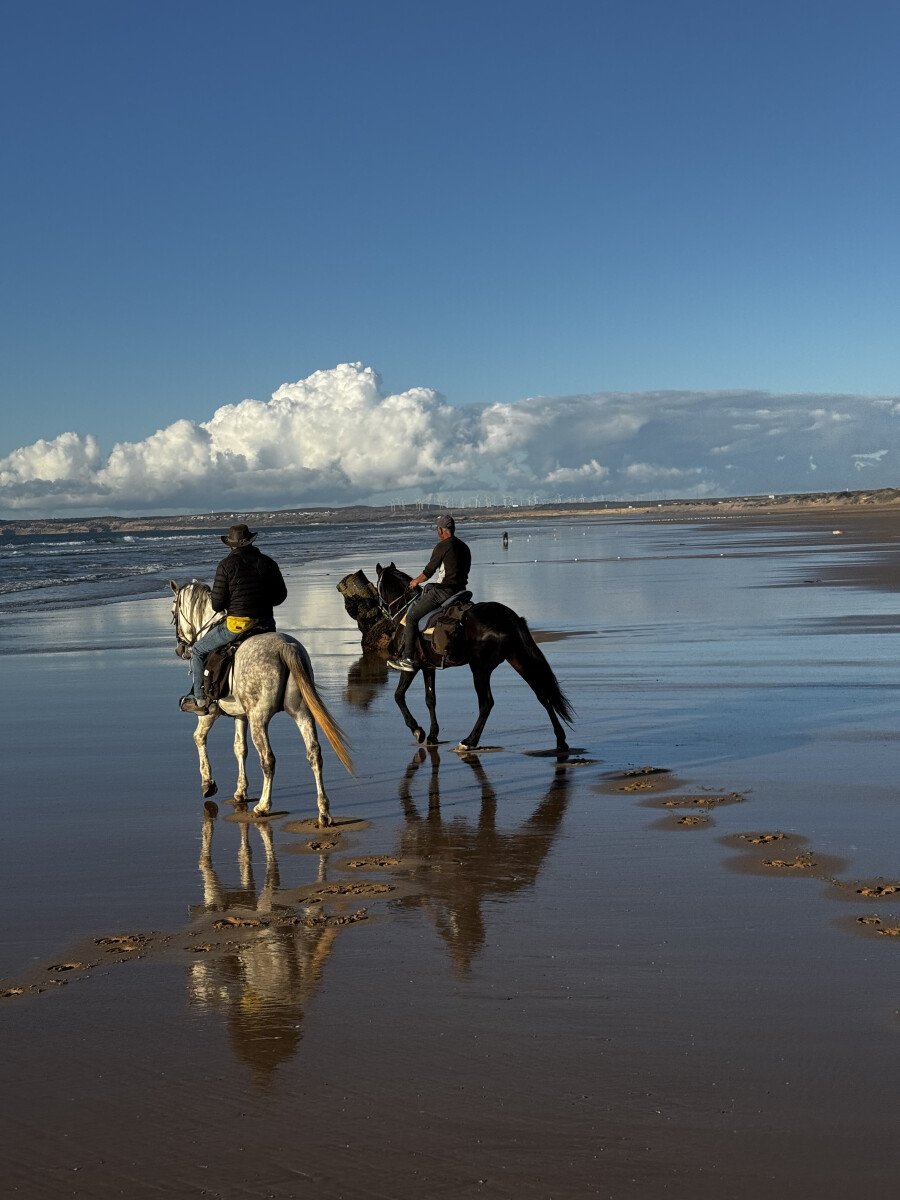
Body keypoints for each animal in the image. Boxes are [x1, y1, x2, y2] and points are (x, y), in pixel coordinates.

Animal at [169, 580, 352, 825]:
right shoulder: (240, 715)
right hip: (301, 712)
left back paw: (264, 806)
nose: (180, 649)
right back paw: (323, 813)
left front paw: (208, 784)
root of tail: (285, 647)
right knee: (314, 754)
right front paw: (240, 791)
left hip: (259, 719)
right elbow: (240, 748)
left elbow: (199, 738)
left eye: (173, 612)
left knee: (268, 759)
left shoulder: (211, 712)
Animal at [374, 561, 573, 748]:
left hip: (479, 668)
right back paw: (560, 739)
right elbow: (430, 699)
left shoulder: (412, 667)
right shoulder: (428, 667)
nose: (380, 611)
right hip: (518, 659)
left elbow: (398, 695)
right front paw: (432, 735)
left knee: (486, 703)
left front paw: (417, 730)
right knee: (542, 694)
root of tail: (508, 617)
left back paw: (469, 741)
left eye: (377, 587)